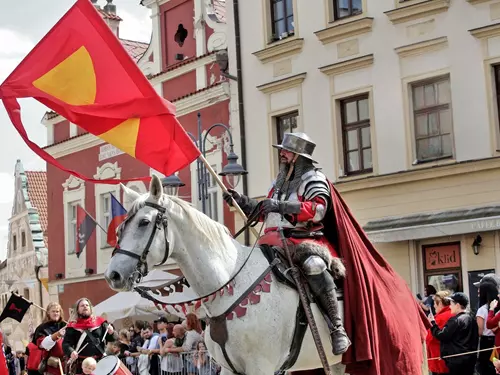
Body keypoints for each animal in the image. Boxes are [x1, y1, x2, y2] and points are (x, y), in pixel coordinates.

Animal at [103, 176, 342, 375]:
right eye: (121, 227)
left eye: (144, 222)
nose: (112, 275)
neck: (231, 282)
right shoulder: (229, 368)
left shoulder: (261, 366)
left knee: (314, 265)